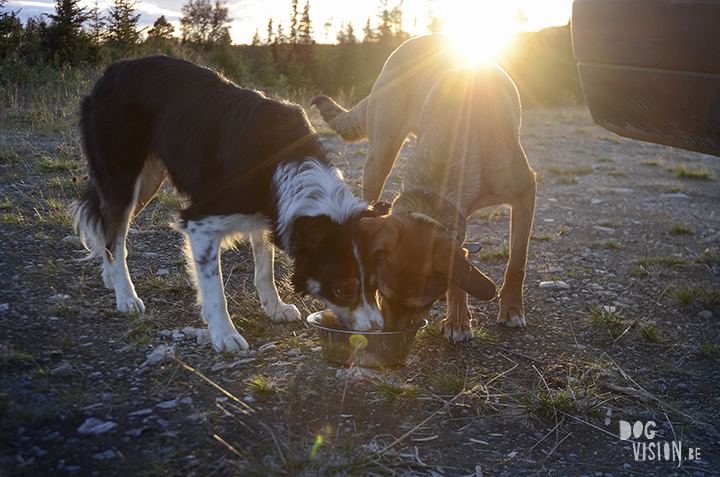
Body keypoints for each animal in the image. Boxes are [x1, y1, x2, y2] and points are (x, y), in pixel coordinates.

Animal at [74, 56, 386, 354]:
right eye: (342, 290)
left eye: (374, 285)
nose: (378, 329)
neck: (286, 161)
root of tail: (112, 70)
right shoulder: (200, 222)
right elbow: (215, 287)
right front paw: (224, 334)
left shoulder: (269, 214)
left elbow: (265, 268)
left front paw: (274, 308)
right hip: (123, 177)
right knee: (115, 237)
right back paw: (126, 296)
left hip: (147, 182)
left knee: (108, 231)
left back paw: (110, 278)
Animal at [312, 34, 536, 338]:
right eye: (382, 294)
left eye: (421, 305)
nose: (388, 336)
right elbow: (459, 275)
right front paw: (457, 319)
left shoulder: (525, 193)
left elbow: (517, 261)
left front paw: (511, 308)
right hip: (380, 155)